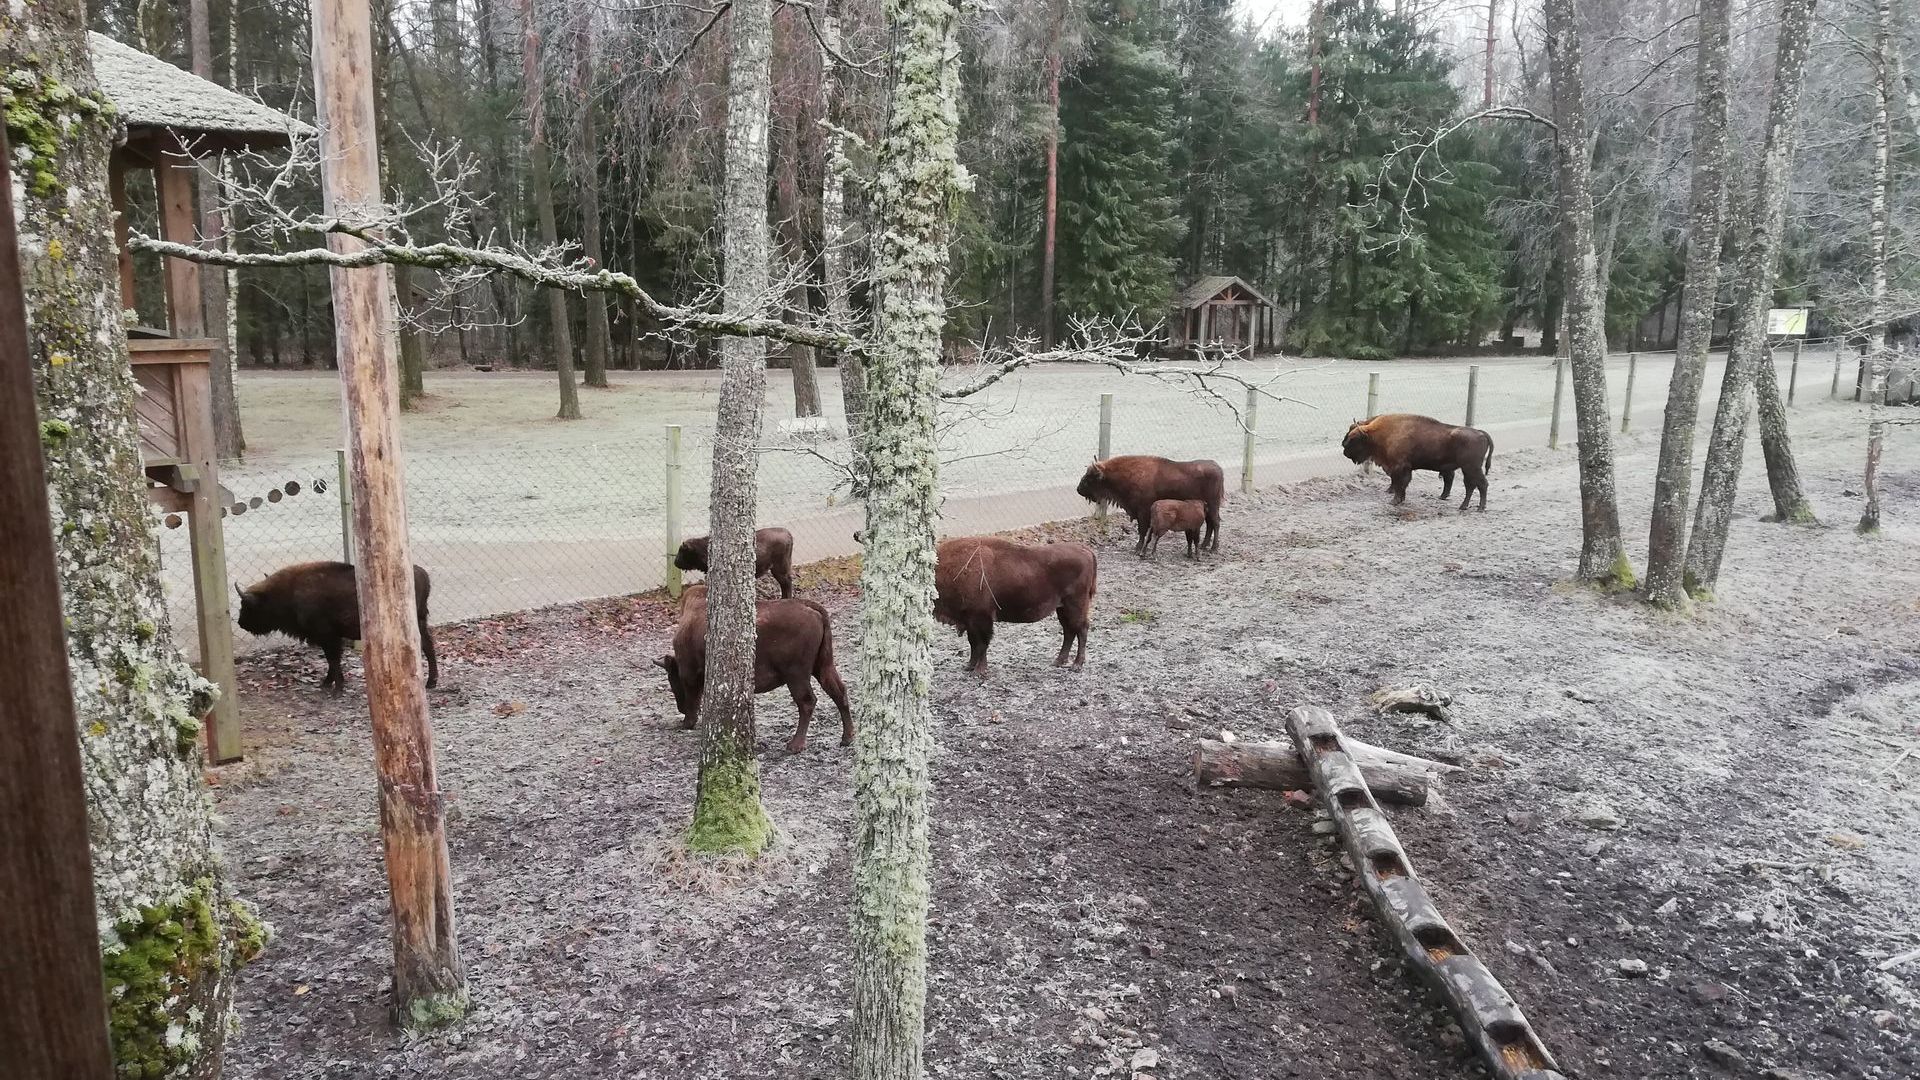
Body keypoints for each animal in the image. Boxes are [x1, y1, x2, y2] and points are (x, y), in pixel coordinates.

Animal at [238, 557, 437, 684]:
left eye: (247, 606)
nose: (240, 623)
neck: (289, 591)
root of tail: (422, 573)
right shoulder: (329, 638)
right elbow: (332, 661)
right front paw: (327, 684)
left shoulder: (328, 637)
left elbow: (333, 660)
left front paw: (335, 687)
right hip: (420, 623)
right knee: (428, 646)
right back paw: (431, 682)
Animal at [652, 580, 848, 749]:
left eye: (673, 680)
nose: (680, 708)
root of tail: (813, 609)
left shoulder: (690, 674)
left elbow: (694, 698)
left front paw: (687, 723)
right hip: (823, 666)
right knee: (839, 692)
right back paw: (847, 738)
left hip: (796, 674)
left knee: (807, 701)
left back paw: (795, 745)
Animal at [929, 534, 1098, 668]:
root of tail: (1086, 550)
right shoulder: (970, 619)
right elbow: (973, 643)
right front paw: (969, 666)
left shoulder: (981, 618)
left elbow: (982, 644)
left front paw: (979, 670)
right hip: (1062, 608)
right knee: (1069, 631)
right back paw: (1058, 661)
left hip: (1075, 605)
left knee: (1081, 629)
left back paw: (1077, 665)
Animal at [1075, 453, 1221, 553]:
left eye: (1089, 477)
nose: (1078, 489)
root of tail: (1217, 468)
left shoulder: (1143, 511)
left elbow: (1142, 530)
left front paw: (1137, 547)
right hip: (1207, 508)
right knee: (1210, 524)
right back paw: (1204, 545)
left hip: (1213, 505)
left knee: (1215, 523)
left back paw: (1213, 548)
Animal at [1336, 413, 1497, 511]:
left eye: (1354, 438)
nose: (1344, 449)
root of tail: (1480, 432)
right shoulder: (1403, 469)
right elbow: (1402, 485)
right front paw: (1400, 500)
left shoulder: (1399, 467)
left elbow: (1400, 484)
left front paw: (1394, 501)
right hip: (1468, 469)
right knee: (1471, 485)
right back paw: (1464, 506)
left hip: (1471, 468)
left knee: (1481, 484)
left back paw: (1479, 507)